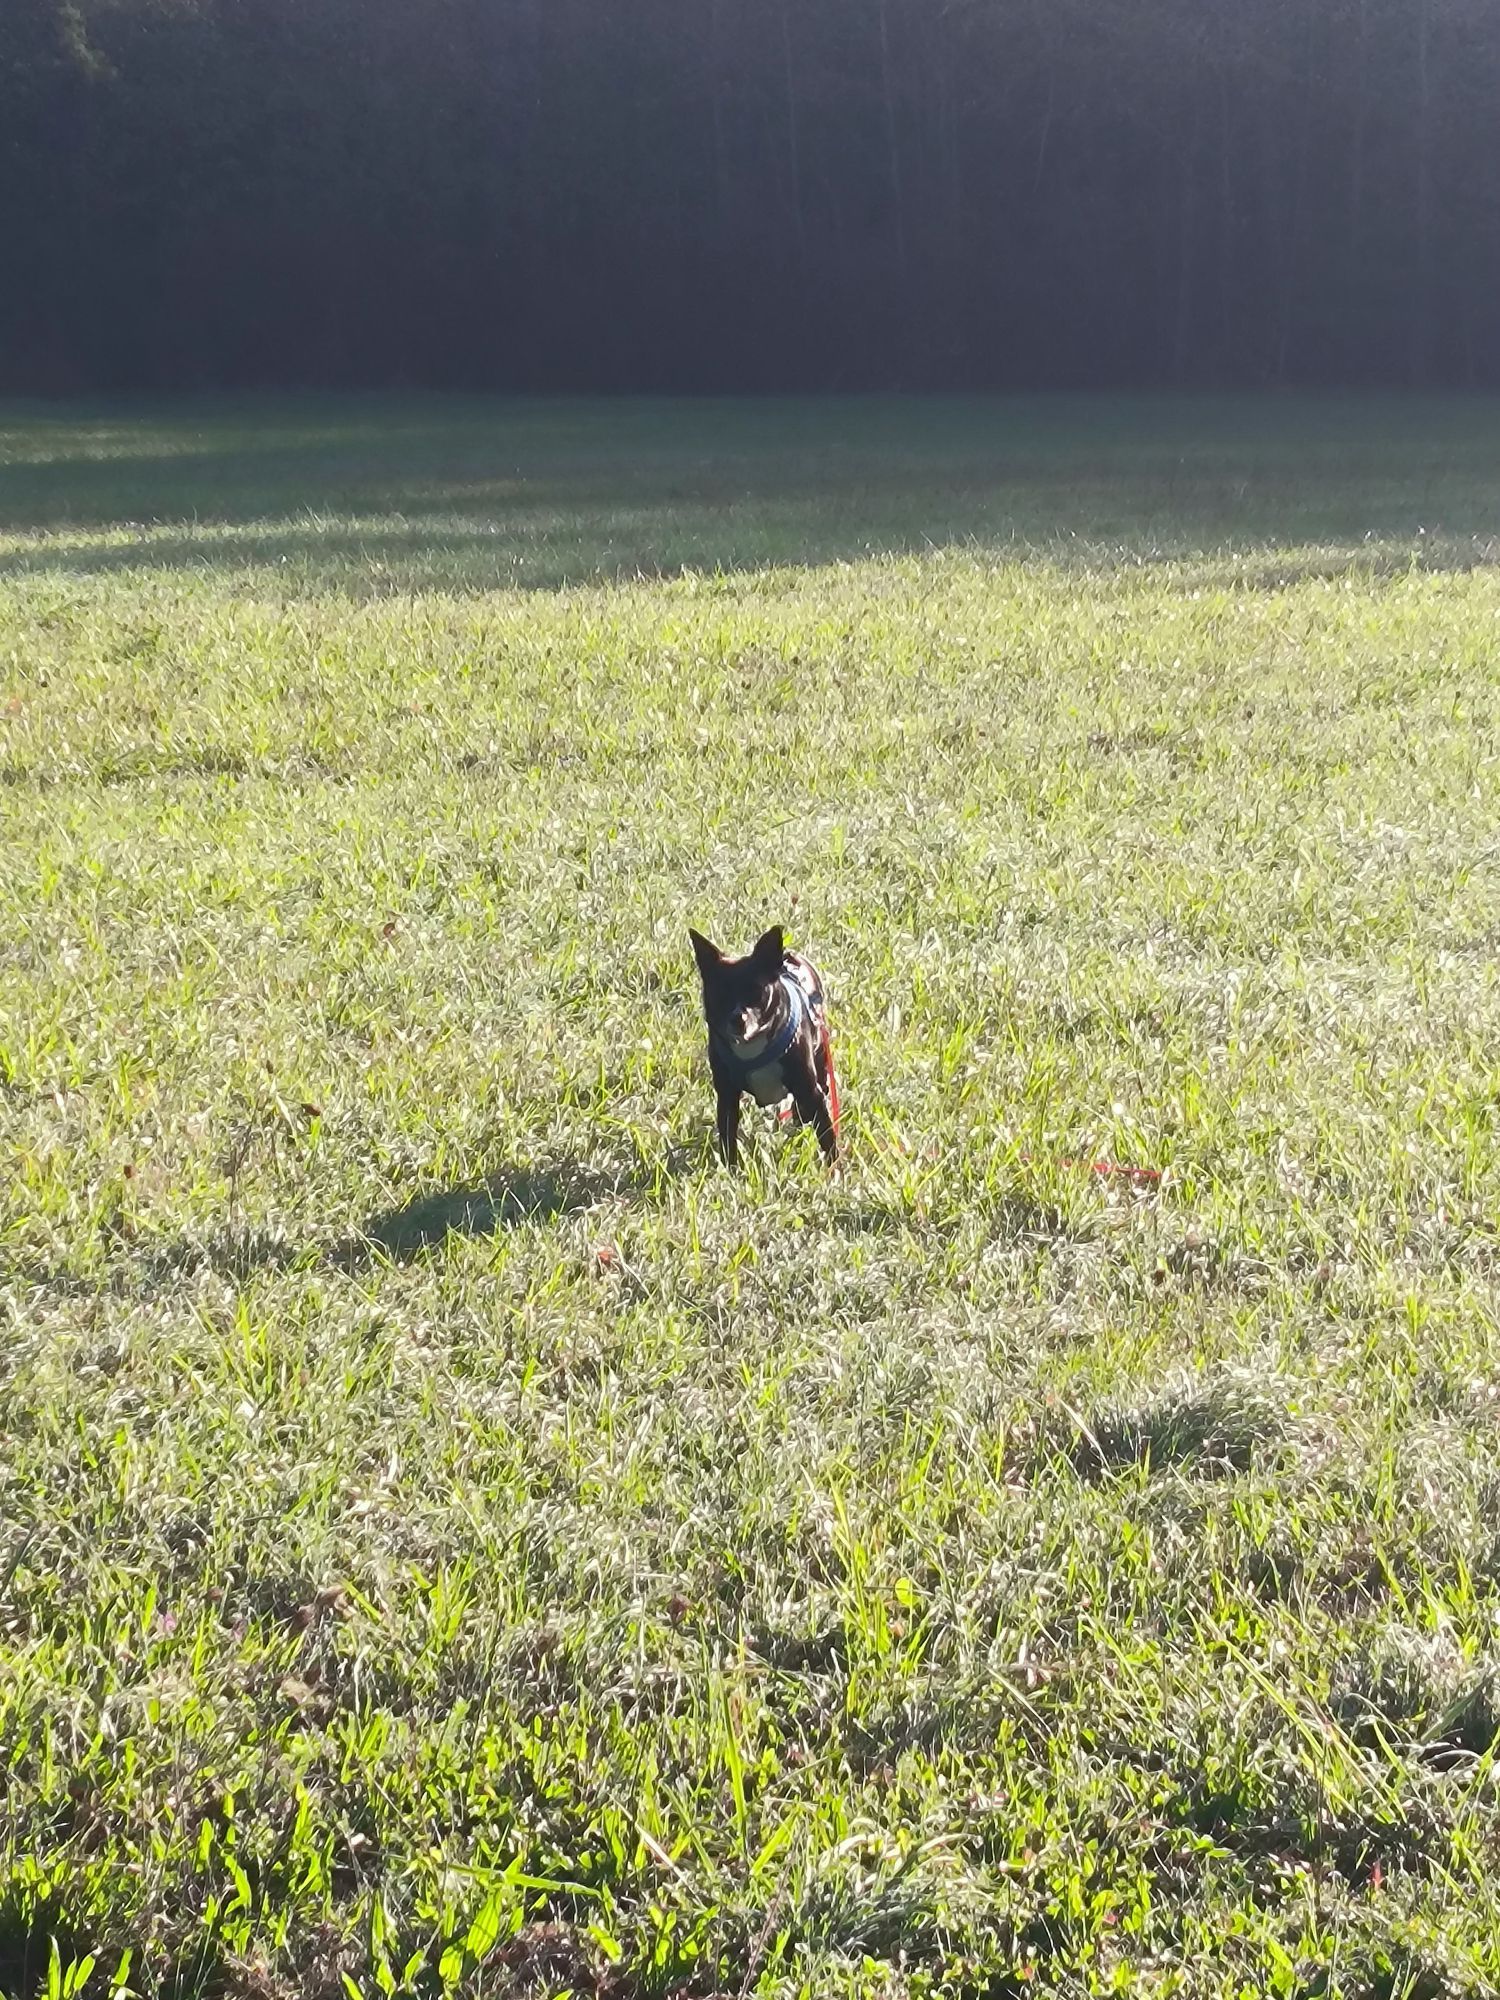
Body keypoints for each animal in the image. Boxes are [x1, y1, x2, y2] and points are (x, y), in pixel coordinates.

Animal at [688, 924, 840, 1168]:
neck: (751, 1045)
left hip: (821, 1068)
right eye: (719, 994)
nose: (738, 1017)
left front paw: (835, 1169)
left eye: (756, 992)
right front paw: (731, 1171)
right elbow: (728, 1139)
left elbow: (827, 1139)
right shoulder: (727, 1097)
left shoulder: (811, 1092)